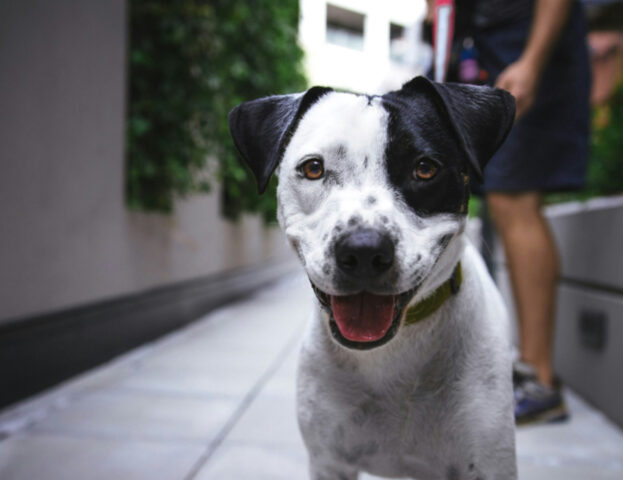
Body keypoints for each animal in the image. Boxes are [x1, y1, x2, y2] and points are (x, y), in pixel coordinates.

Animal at [229, 77, 516, 478]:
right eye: (313, 168)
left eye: (425, 169)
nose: (363, 250)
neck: (392, 354)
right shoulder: (329, 462)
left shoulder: (489, 464)